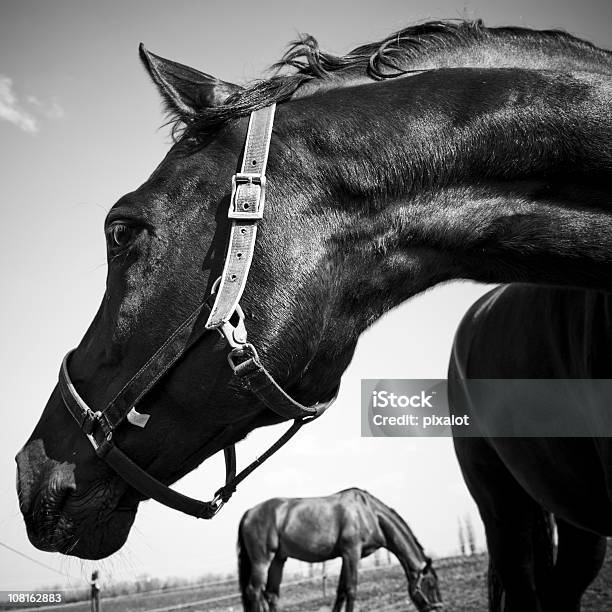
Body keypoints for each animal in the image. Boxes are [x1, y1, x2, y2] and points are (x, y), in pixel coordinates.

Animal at [237, 488, 442, 612]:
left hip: (278, 560)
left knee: (271, 595)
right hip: (262, 561)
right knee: (254, 591)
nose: (439, 608)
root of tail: (249, 512)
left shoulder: (347, 556)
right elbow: (351, 589)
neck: (368, 514)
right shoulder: (352, 553)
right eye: (431, 584)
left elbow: (341, 591)